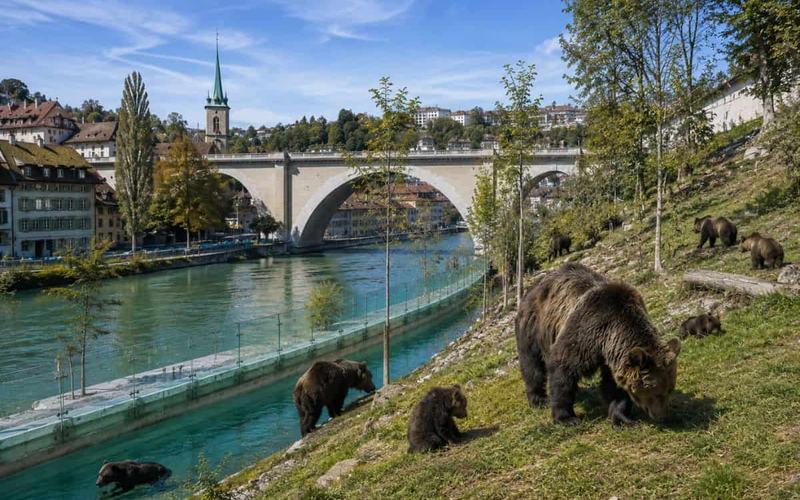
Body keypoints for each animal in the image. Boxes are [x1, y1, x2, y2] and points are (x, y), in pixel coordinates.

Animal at [515, 263, 681, 427]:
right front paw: (566, 418)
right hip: (533, 326)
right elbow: (562, 369)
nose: (661, 416)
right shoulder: (584, 333)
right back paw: (539, 400)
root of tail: (534, 285)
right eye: (653, 389)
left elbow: (614, 386)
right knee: (532, 365)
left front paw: (623, 418)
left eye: (670, 388)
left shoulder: (613, 355)